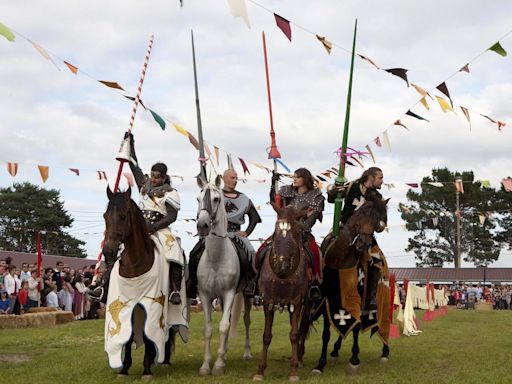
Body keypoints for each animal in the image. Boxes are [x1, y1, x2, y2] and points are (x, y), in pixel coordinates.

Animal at [102, 188, 174, 380]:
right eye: (105, 216)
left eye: (122, 216)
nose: (108, 251)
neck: (136, 263)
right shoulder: (127, 305)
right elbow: (129, 334)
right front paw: (124, 369)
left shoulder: (150, 304)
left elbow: (149, 335)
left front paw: (146, 369)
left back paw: (165, 360)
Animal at [196, 176, 252, 376]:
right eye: (198, 199)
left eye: (216, 199)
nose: (202, 225)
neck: (216, 259)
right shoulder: (205, 296)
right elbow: (208, 329)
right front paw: (206, 365)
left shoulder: (229, 294)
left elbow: (223, 326)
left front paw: (218, 365)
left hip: (246, 295)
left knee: (246, 321)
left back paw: (246, 353)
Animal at [253, 204, 310, 380]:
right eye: (275, 231)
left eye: (297, 232)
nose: (281, 265)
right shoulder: (267, 301)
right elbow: (266, 336)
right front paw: (260, 371)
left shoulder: (297, 302)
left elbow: (294, 335)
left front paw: (294, 372)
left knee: (301, 329)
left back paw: (299, 359)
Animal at [302, 198, 390, 376]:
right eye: (362, 213)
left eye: (378, 220)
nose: (363, 243)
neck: (341, 260)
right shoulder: (328, 301)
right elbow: (327, 333)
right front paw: (320, 364)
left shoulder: (357, 299)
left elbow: (355, 328)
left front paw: (354, 360)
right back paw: (335, 352)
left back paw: (385, 352)